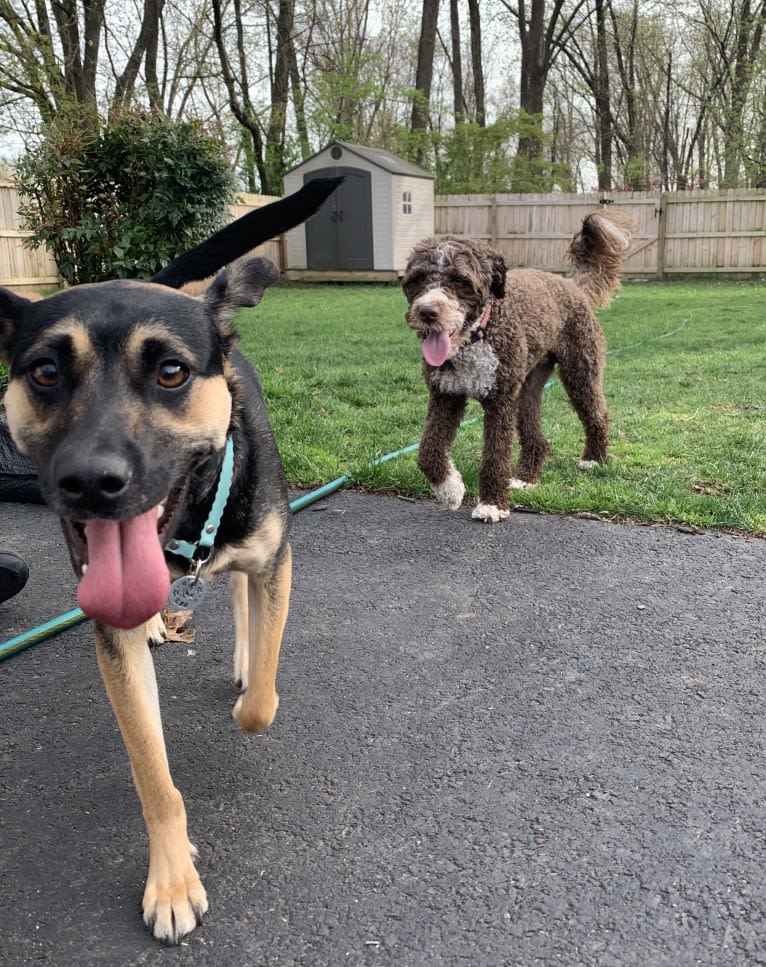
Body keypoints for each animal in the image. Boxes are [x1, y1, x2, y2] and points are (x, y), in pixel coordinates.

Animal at [0, 178, 342, 940]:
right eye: (44, 371)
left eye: (171, 372)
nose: (90, 481)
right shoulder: (110, 632)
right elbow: (153, 773)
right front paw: (172, 877)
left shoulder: (276, 559)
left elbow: (262, 698)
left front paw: (250, 684)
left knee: (242, 605)